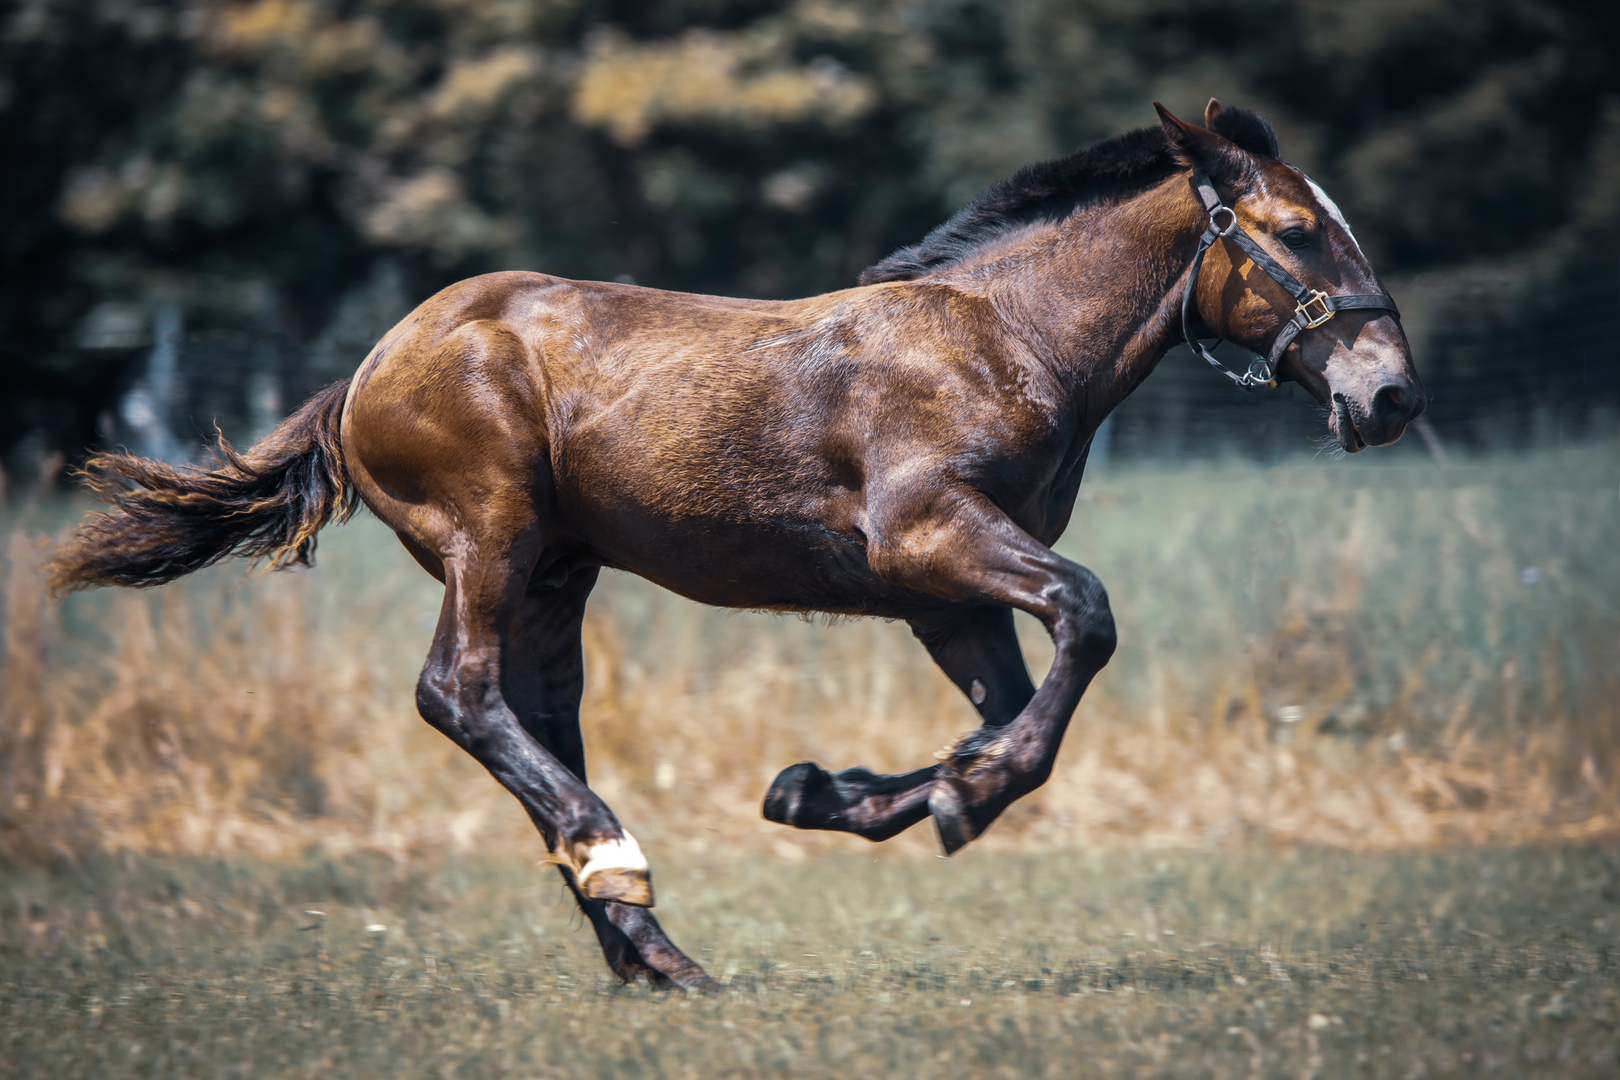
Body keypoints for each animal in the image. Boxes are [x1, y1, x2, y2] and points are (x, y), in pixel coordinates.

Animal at [47, 105, 1419, 990]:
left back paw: (653, 952)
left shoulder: (944, 594)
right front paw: (959, 799)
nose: (1391, 394)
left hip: (559, 570)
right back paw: (623, 871)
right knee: (461, 694)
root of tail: (367, 371)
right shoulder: (934, 539)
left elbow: (1005, 707)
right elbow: (1085, 620)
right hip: (491, 535)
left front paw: (829, 792)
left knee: (539, 719)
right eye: (1296, 229)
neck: (1004, 338)